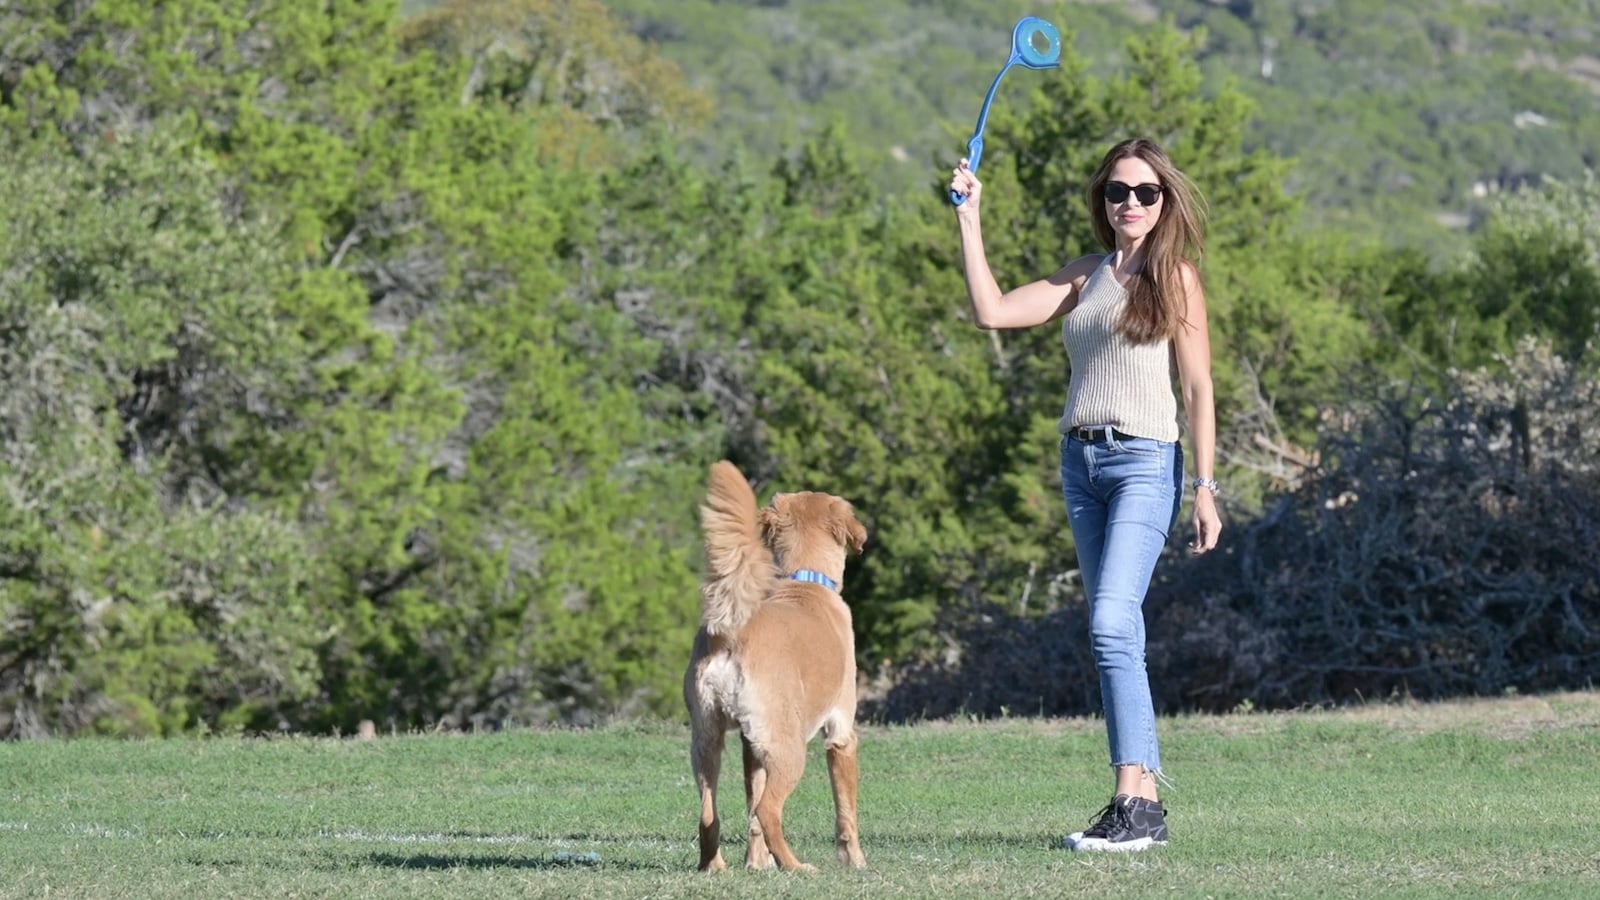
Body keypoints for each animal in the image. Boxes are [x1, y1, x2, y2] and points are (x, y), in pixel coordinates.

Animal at [681, 458, 870, 864]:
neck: (805, 581)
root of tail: (733, 630)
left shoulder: (750, 745)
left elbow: (751, 809)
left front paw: (756, 864)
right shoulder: (841, 734)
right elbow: (846, 812)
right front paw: (855, 861)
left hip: (707, 740)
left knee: (710, 814)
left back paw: (714, 867)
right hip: (790, 747)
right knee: (768, 810)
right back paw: (796, 866)